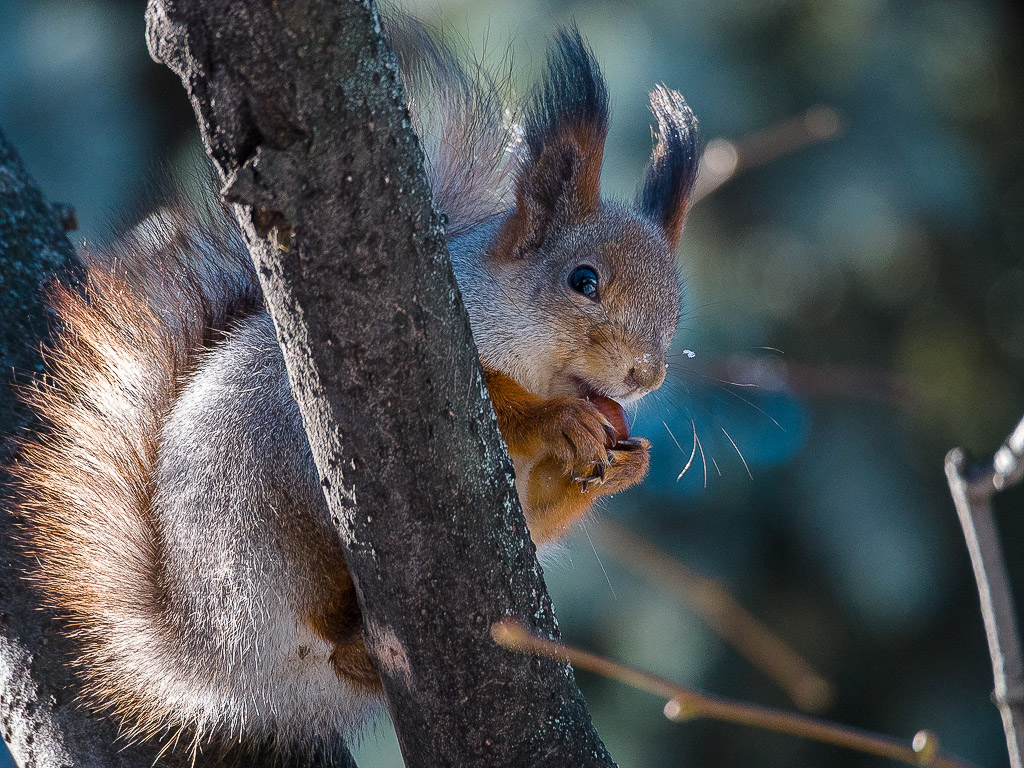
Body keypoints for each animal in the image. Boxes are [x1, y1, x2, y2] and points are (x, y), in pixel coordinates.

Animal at [6, 15, 696, 761]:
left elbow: (543, 511)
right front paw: (558, 419)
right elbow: (506, 410)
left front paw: (628, 466)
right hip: (266, 519)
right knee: (323, 623)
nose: (646, 374)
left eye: (677, 303)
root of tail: (216, 664)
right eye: (583, 280)